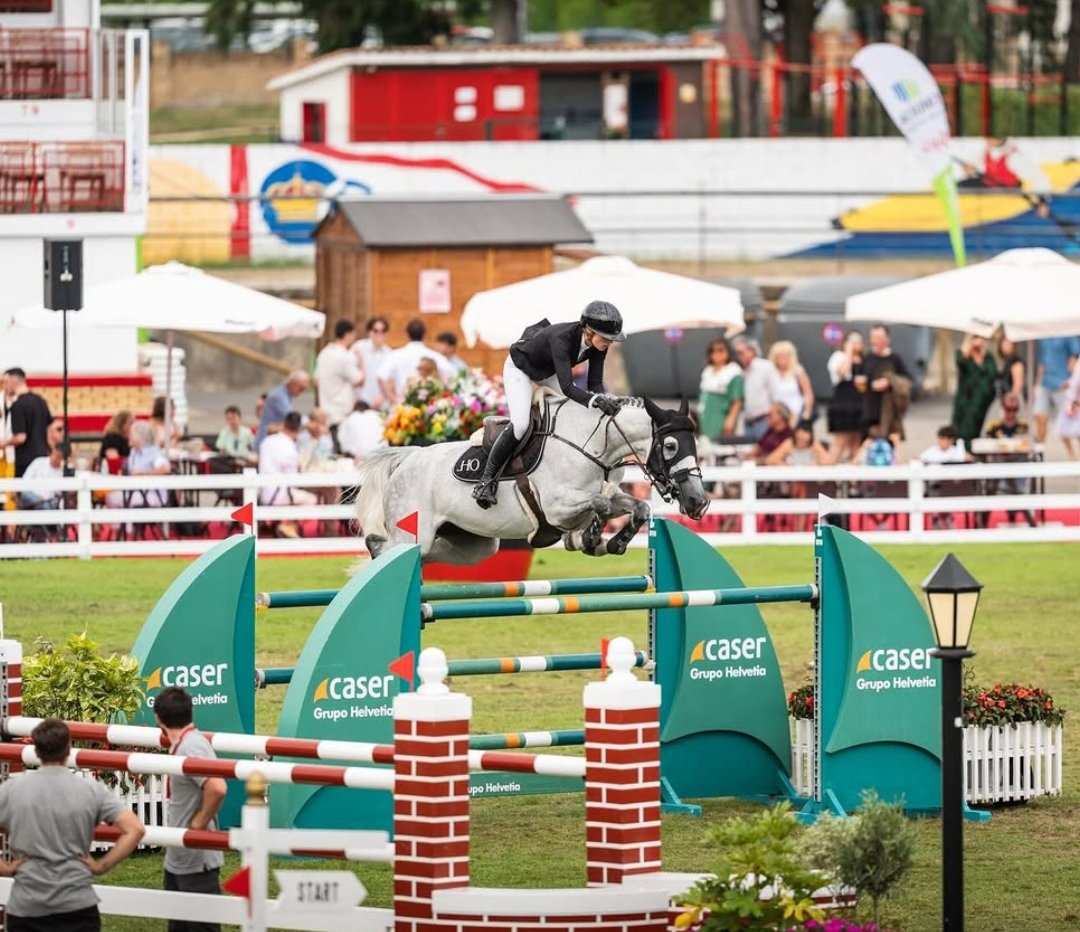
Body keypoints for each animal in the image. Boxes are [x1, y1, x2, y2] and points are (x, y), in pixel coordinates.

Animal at [354, 395, 709, 565]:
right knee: (387, 547)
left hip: (471, 544)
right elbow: (601, 504)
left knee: (414, 552)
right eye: (671, 445)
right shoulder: (555, 505)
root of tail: (408, 459)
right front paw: (591, 536)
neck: (594, 444)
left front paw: (614, 542)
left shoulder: (609, 492)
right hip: (413, 532)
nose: (699, 502)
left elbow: (638, 507)